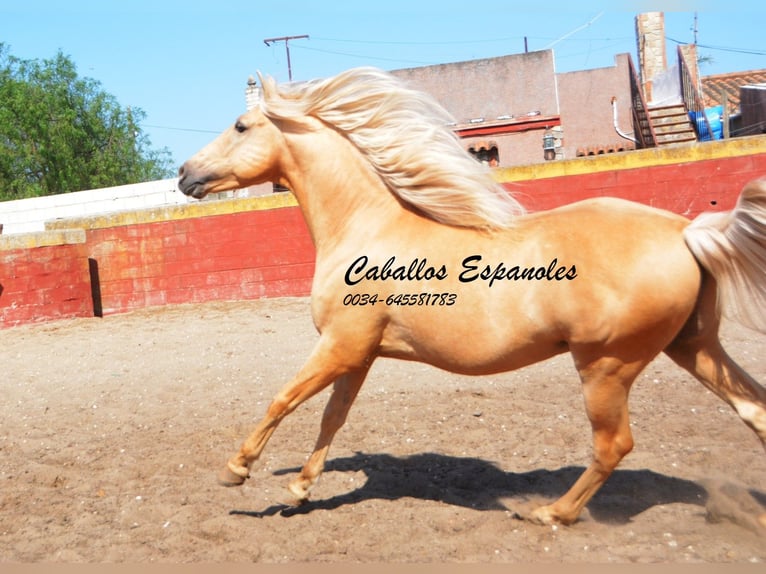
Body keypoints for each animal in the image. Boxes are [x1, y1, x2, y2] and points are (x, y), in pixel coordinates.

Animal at [180, 67, 766, 528]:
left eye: (241, 126)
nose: (186, 174)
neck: (365, 228)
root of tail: (684, 231)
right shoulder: (359, 354)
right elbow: (332, 417)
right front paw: (300, 489)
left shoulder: (341, 346)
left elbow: (282, 399)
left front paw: (236, 471)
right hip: (692, 346)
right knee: (753, 410)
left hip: (607, 366)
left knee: (613, 445)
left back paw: (551, 513)